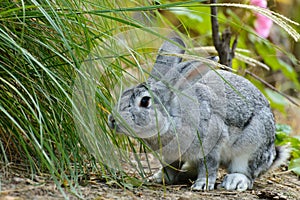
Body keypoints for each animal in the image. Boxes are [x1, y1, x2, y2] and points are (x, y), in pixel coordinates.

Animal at [107, 36, 288, 191]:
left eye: (144, 101)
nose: (112, 120)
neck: (174, 119)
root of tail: (271, 154)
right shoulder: (172, 156)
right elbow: (170, 168)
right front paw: (160, 178)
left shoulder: (212, 143)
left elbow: (209, 167)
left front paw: (202, 185)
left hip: (251, 146)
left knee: (248, 174)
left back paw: (234, 181)